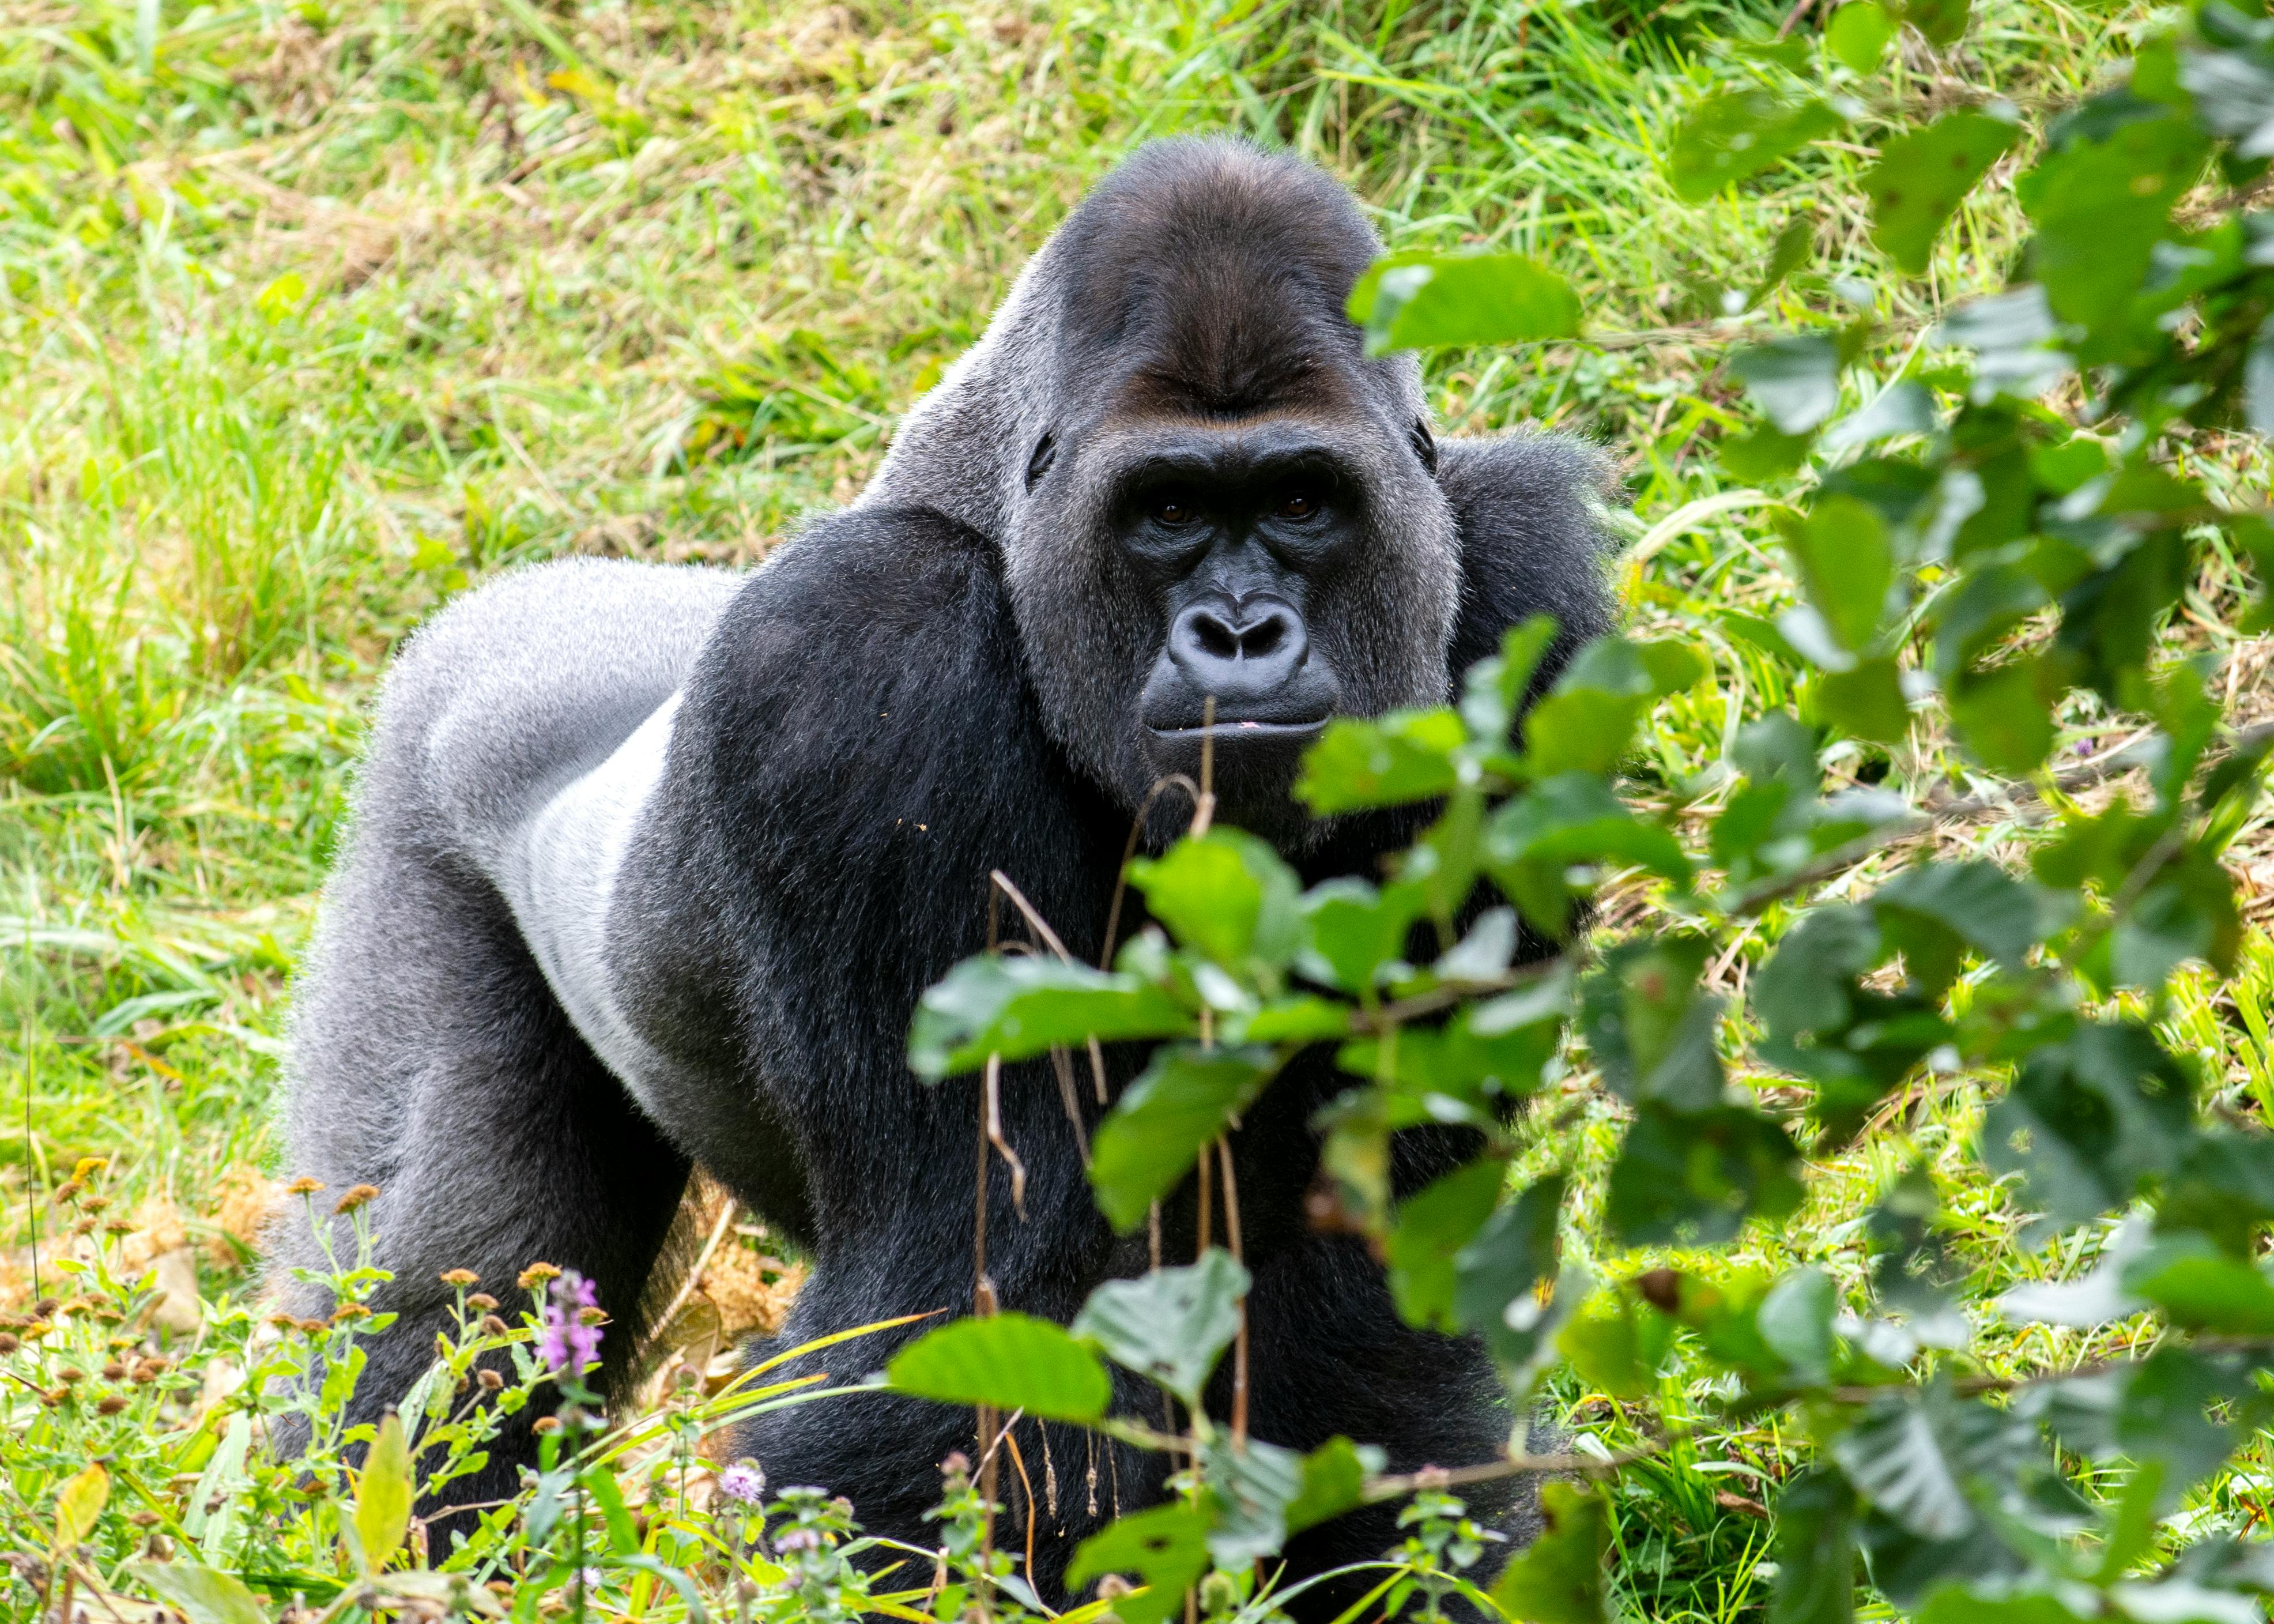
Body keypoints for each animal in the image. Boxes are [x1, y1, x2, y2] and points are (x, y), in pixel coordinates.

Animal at [270, 136, 1614, 1611]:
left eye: (1302, 500)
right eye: (1168, 510)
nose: (1239, 631)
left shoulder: (1520, 602)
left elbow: (1366, 1293)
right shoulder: (864, 650)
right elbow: (959, 1306)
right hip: (420, 783)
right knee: (438, 1311)